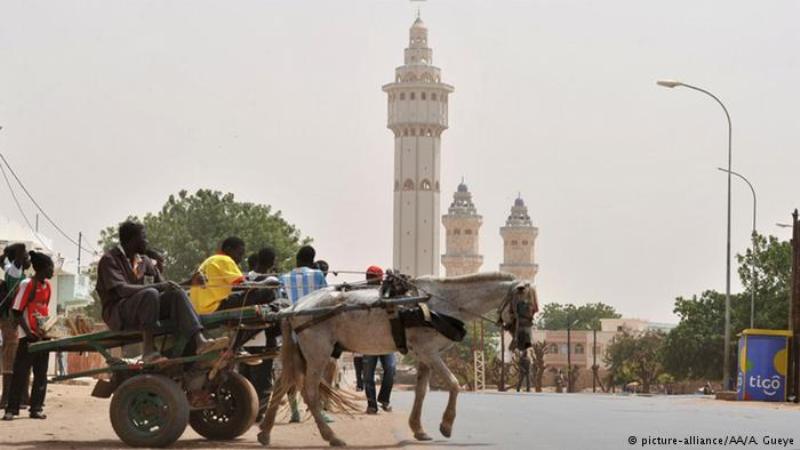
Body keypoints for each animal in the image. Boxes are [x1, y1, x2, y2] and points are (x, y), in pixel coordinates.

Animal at [260, 270, 536, 446]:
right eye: (524, 306)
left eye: (535, 309)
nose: (526, 342)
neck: (441, 303)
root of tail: (294, 307)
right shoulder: (429, 352)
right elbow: (454, 384)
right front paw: (446, 425)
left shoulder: (424, 355)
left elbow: (421, 391)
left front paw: (418, 429)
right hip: (318, 352)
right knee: (309, 391)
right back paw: (332, 436)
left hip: (302, 352)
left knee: (282, 384)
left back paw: (265, 432)